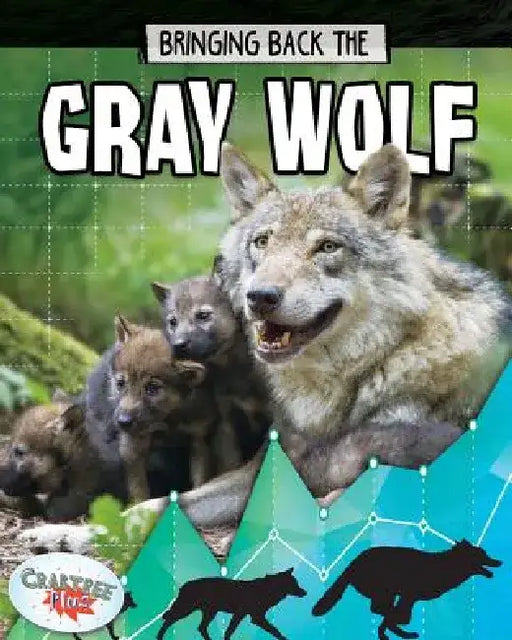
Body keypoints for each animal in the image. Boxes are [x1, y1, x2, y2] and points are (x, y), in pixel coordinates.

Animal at [156, 568, 306, 640]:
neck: (267, 589)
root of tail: (184, 585)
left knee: (201, 628)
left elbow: (229, 631)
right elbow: (275, 630)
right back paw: (159, 637)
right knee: (168, 620)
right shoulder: (255, 617)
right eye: (294, 584)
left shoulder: (241, 615)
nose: (305, 592)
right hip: (186, 610)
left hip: (210, 613)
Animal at [312, 540, 501, 640]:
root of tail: (353, 563)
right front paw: (395, 625)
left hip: (387, 593)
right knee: (378, 608)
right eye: (482, 555)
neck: (446, 566)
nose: (499, 562)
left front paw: (390, 629)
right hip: (385, 590)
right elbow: (402, 615)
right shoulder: (409, 594)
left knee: (378, 608)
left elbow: (399, 615)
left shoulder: (409, 597)